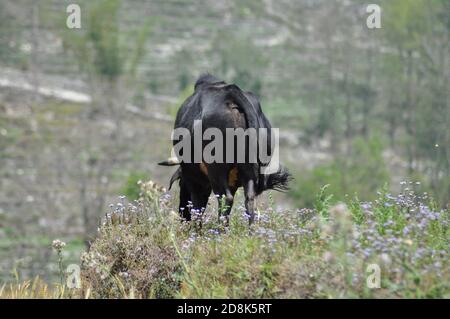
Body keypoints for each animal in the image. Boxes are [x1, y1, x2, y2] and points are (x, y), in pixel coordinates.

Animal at [160, 74, 290, 225]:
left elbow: (198, 205)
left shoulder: (195, 179)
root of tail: (232, 92)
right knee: (249, 200)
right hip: (248, 172)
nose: (183, 216)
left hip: (216, 169)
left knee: (225, 198)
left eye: (180, 183)